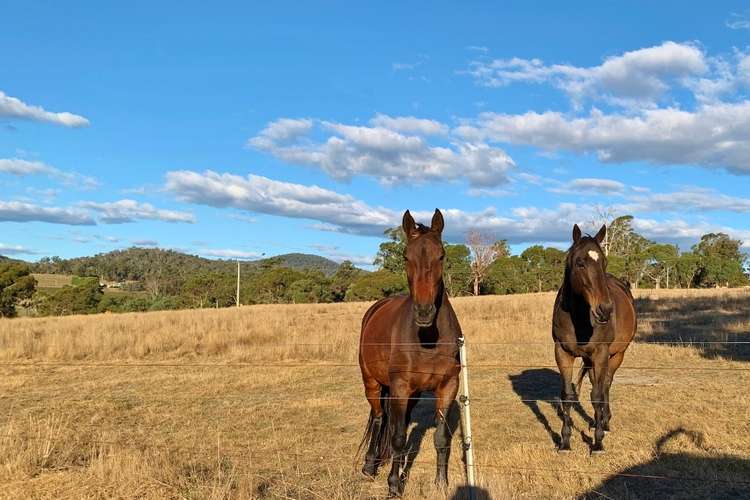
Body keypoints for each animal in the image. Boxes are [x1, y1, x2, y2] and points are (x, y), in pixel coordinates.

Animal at [360, 209, 464, 498]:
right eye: (406, 256)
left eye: (441, 255)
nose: (424, 312)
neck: (427, 341)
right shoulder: (400, 387)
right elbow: (396, 437)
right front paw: (394, 486)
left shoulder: (447, 387)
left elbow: (441, 438)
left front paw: (442, 483)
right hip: (373, 384)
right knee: (379, 418)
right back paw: (370, 466)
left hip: (411, 395)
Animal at [556, 225, 636, 456]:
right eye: (579, 263)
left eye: (604, 262)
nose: (605, 309)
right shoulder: (562, 353)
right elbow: (568, 395)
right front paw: (565, 442)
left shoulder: (601, 353)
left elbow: (600, 394)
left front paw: (598, 443)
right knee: (594, 387)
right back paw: (594, 421)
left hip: (616, 355)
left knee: (606, 385)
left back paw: (605, 422)